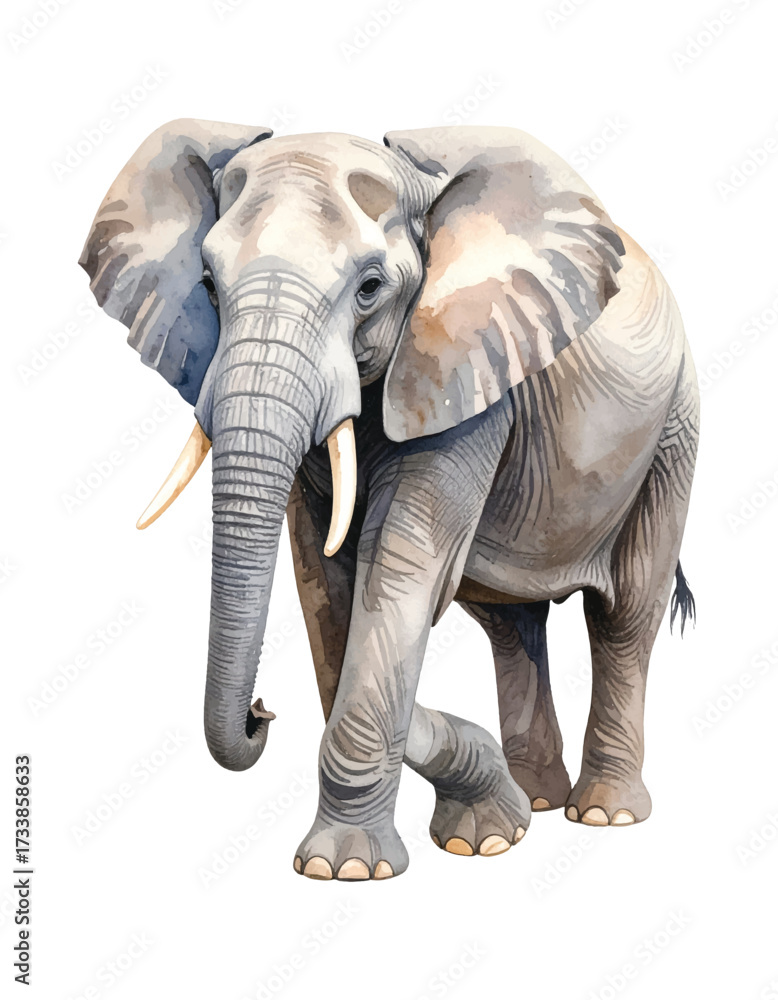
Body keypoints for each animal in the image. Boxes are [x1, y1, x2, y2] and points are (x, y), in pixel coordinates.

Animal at [79, 120, 699, 881]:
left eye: (371, 288)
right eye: (207, 287)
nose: (261, 711)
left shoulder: (466, 366)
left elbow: (398, 563)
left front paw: (343, 869)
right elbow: (323, 579)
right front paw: (484, 831)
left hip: (673, 430)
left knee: (626, 614)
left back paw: (604, 814)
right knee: (513, 627)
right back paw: (534, 806)